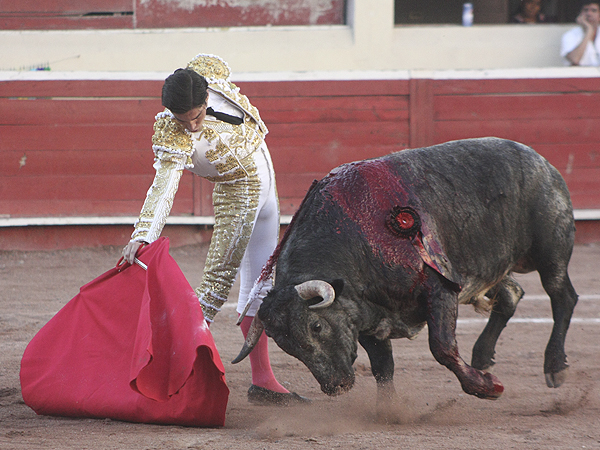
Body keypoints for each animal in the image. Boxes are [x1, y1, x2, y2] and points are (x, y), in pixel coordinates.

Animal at [233, 138, 576, 404]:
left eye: (316, 327)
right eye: (285, 345)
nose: (336, 386)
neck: (356, 240)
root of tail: (540, 161)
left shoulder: (440, 287)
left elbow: (442, 348)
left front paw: (486, 388)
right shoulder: (368, 317)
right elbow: (383, 367)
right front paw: (389, 411)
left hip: (551, 252)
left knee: (563, 297)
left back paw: (555, 366)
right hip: (490, 267)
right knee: (511, 294)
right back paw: (482, 357)